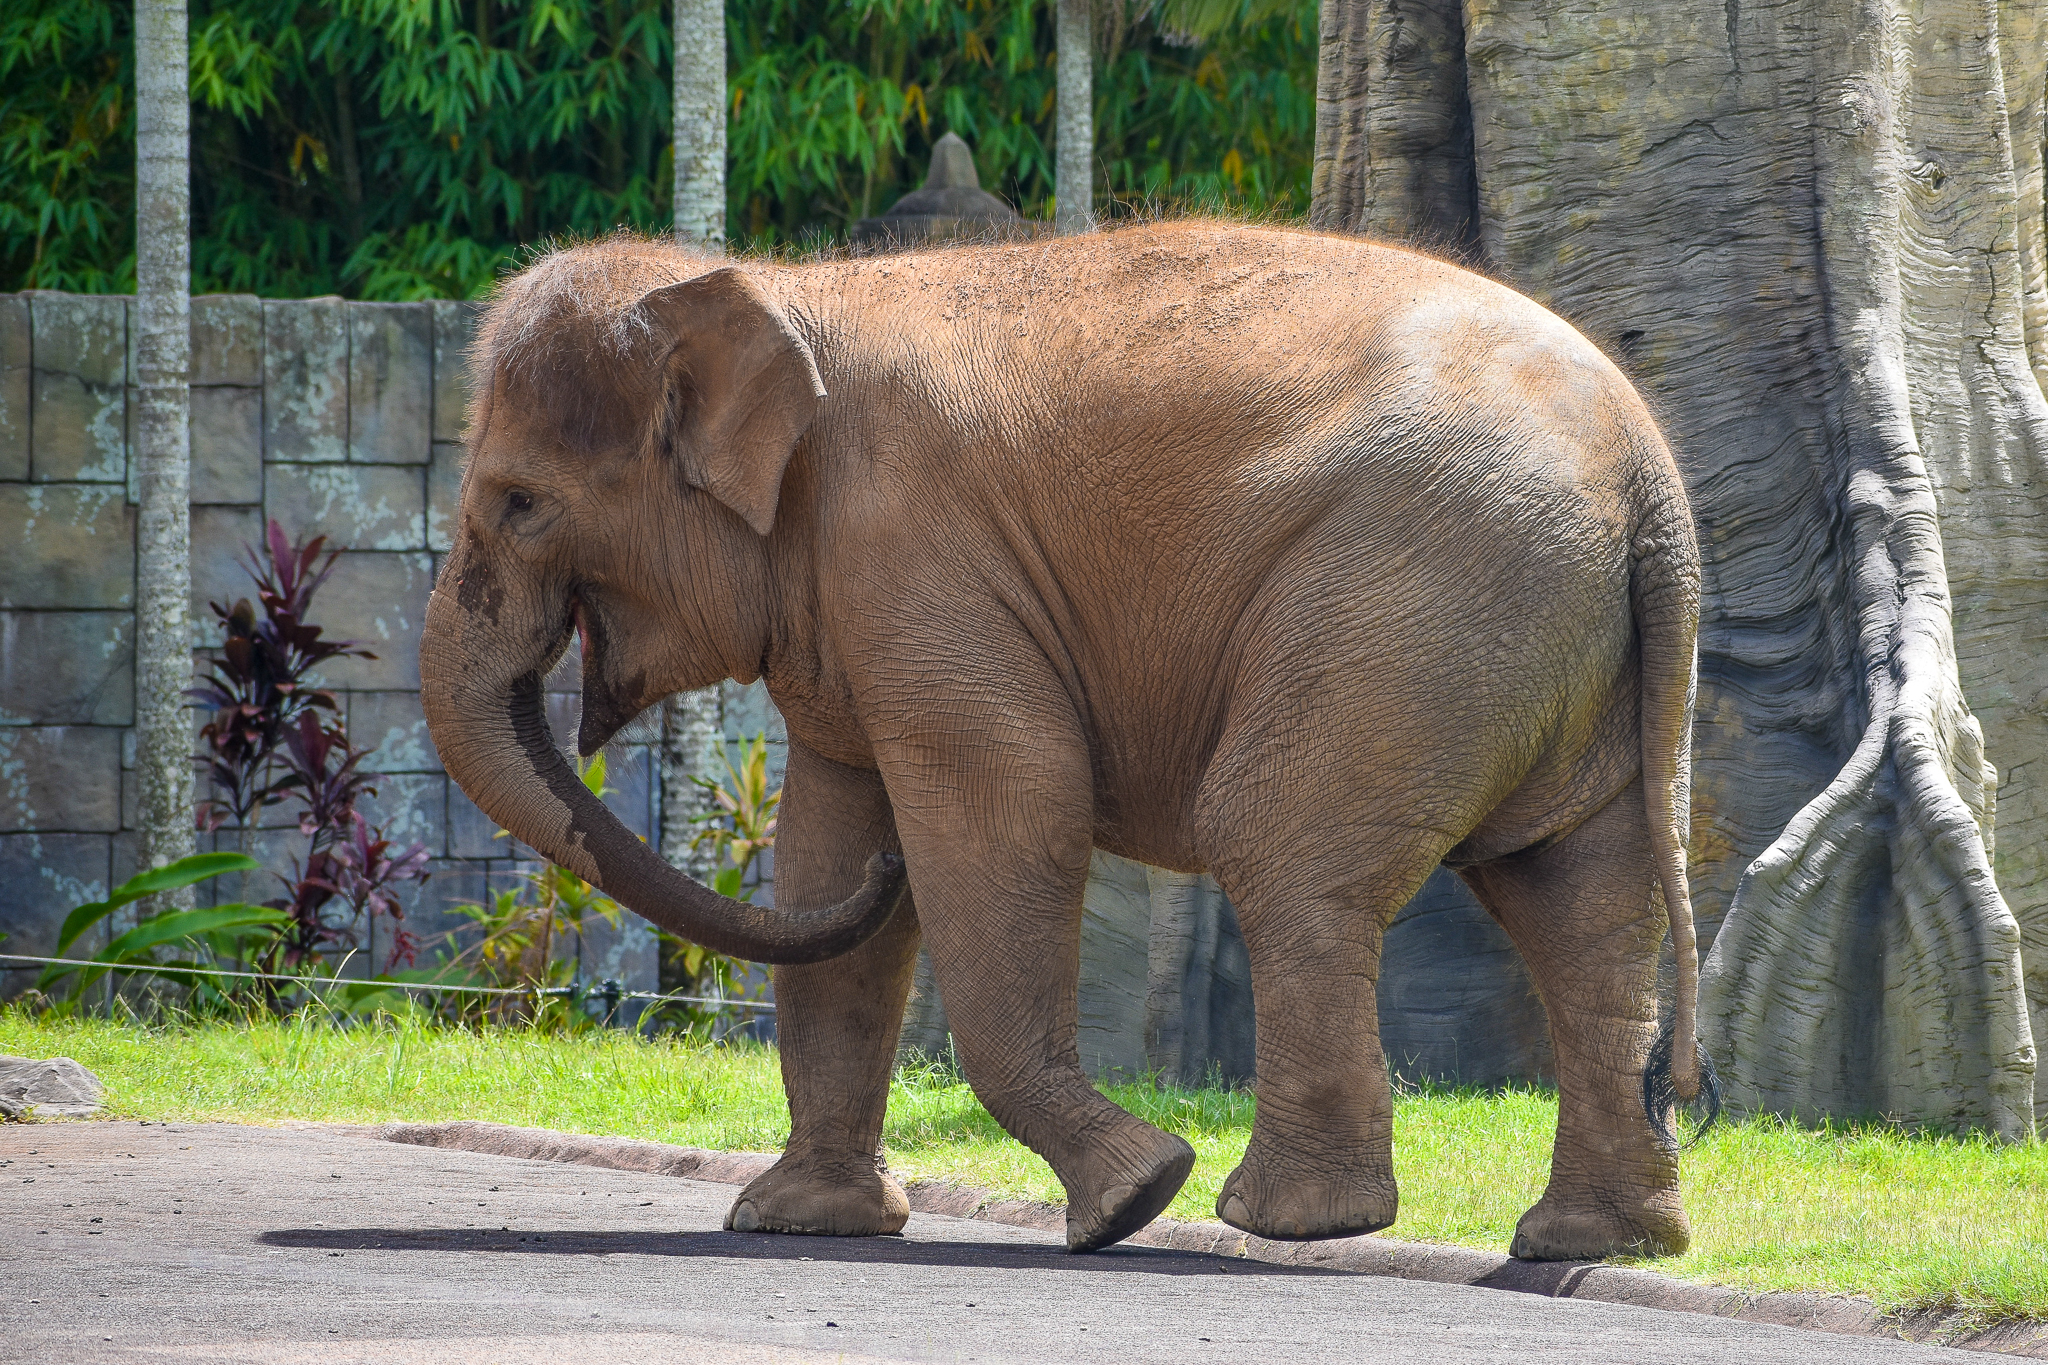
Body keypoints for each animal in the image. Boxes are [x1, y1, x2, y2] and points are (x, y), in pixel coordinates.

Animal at [420, 221, 1718, 1261]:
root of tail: (1646, 471)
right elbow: (827, 842)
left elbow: (1011, 800)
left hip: (1408, 603)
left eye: (520, 503)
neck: (772, 288)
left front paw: (1131, 1199)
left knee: (1287, 852)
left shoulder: (911, 554)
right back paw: (1593, 1242)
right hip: (1545, 634)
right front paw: (797, 1223)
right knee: (1581, 900)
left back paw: (1284, 1222)